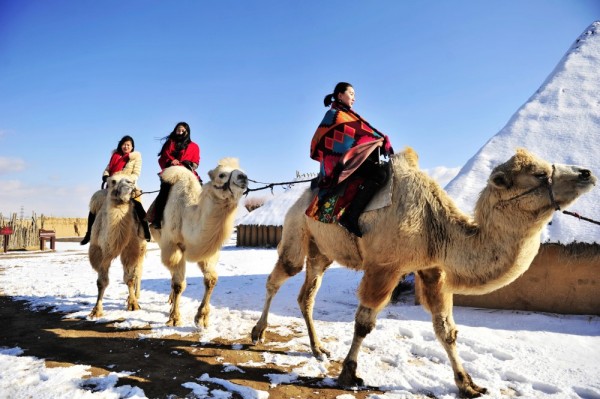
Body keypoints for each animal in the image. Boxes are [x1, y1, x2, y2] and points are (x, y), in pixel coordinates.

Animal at [87, 173, 147, 320]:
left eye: (132, 180)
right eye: (113, 181)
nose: (130, 184)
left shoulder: (131, 249)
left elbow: (129, 278)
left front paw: (133, 304)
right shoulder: (99, 252)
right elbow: (101, 282)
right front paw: (96, 310)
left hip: (141, 248)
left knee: (138, 272)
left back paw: (136, 295)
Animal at [150, 158, 248, 330]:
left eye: (241, 170)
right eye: (221, 175)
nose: (243, 177)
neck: (187, 216)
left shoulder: (208, 251)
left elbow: (211, 279)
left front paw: (201, 318)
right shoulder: (173, 246)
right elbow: (179, 284)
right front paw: (174, 319)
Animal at [250, 148, 596, 398]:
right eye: (539, 173)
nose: (588, 173)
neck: (435, 225)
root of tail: (301, 199)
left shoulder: (432, 269)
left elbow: (446, 330)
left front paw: (468, 385)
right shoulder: (385, 266)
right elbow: (364, 323)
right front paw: (349, 374)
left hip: (322, 250)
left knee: (306, 294)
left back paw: (318, 348)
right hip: (297, 229)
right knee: (280, 276)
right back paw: (257, 333)